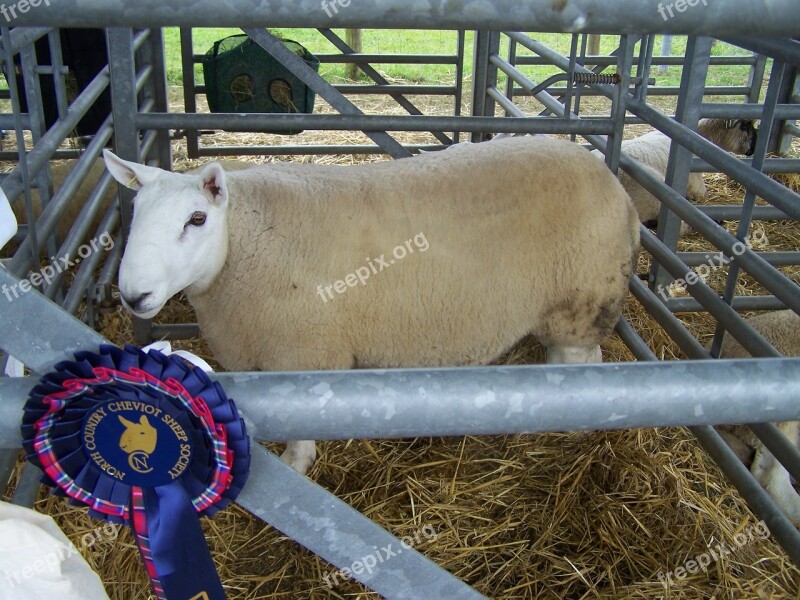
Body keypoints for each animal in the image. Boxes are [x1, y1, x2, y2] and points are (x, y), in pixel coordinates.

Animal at [103, 136, 640, 474]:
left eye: (196, 219)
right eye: (135, 211)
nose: (133, 294)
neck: (245, 242)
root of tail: (612, 180)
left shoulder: (304, 354)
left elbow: (299, 433)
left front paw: (296, 466)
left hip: (581, 300)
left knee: (582, 362)